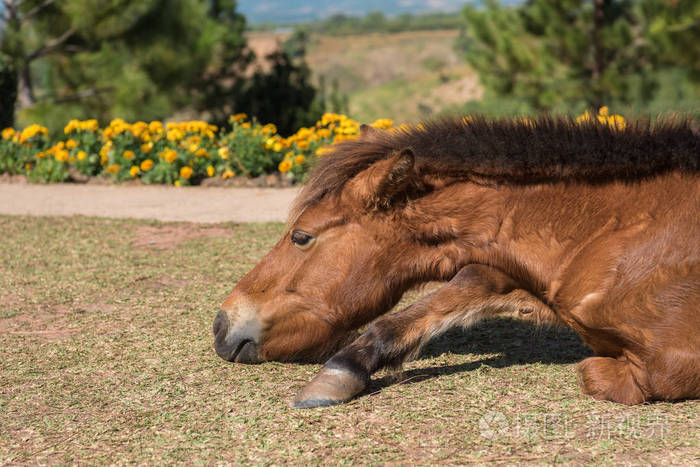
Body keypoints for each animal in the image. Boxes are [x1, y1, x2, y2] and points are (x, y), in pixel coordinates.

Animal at [213, 116, 700, 408]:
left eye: (301, 236)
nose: (221, 325)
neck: (612, 229)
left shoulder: (673, 363)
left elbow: (596, 374)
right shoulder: (499, 274)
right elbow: (415, 314)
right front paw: (341, 372)